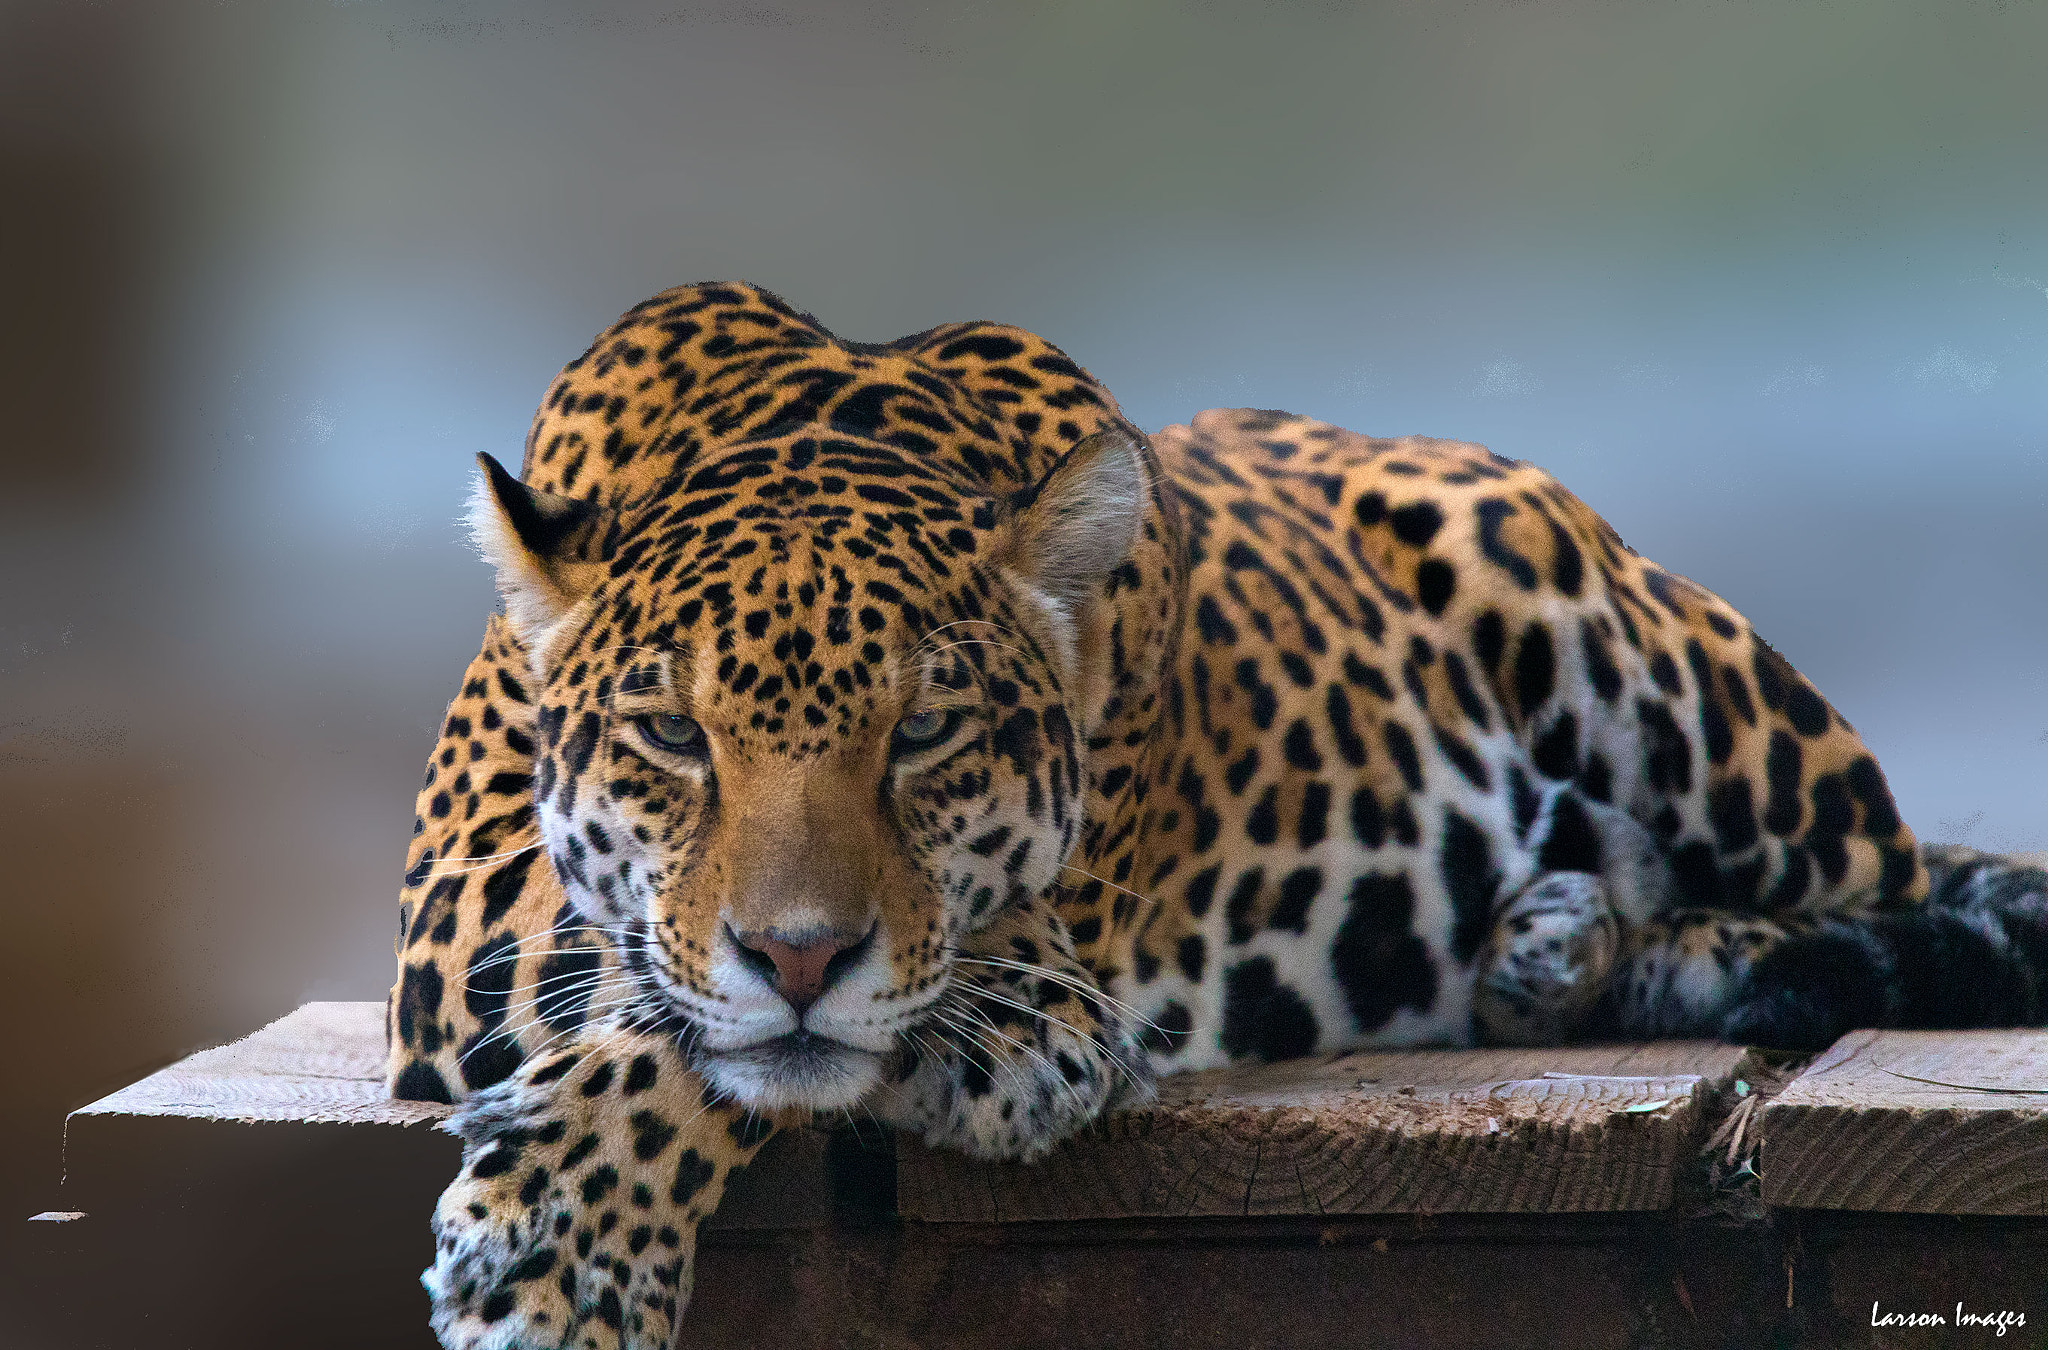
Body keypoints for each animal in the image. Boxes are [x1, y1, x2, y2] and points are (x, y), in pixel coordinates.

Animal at [386, 281, 2048, 1349]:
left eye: (923, 735)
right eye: (673, 735)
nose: (803, 954)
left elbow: (721, 1019)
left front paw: (559, 1242)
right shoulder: (461, 904)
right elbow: (673, 982)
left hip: (1649, 658)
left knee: (1897, 880)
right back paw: (1555, 936)